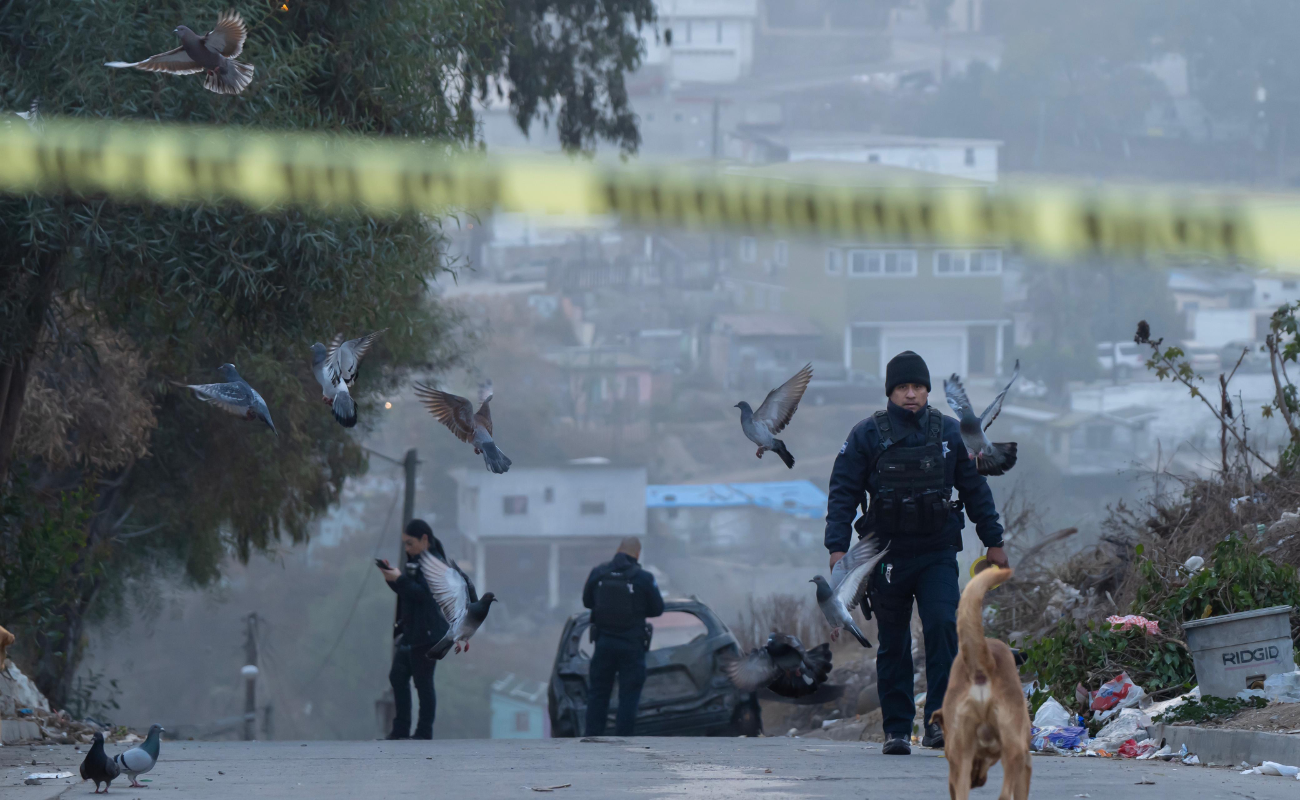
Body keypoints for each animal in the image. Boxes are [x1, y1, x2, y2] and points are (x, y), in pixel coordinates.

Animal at [930, 567, 1029, 800]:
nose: (977, 781)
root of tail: (982, 667)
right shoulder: (1024, 760)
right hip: (1013, 751)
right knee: (1005, 794)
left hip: (961, 757)